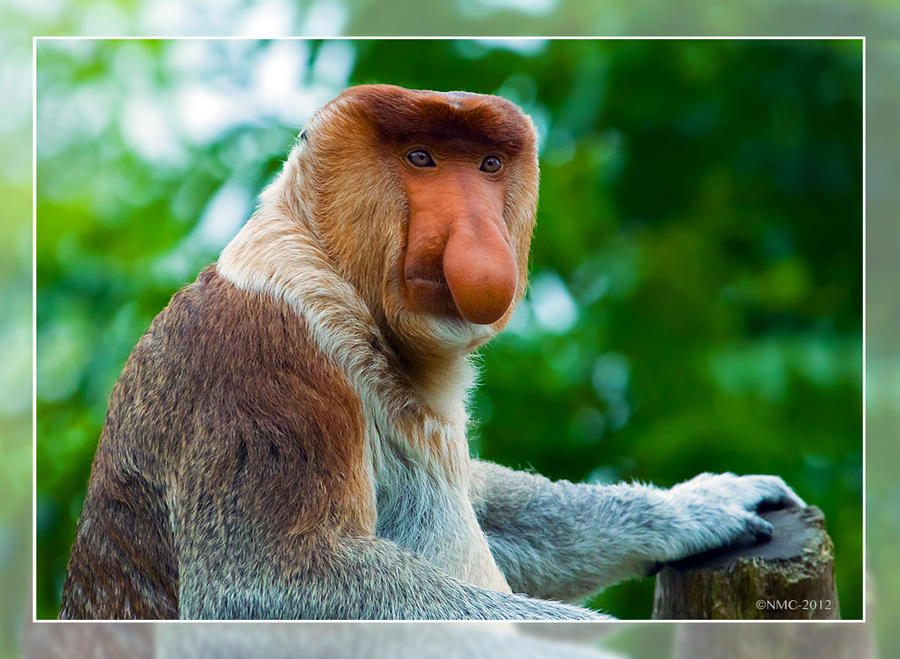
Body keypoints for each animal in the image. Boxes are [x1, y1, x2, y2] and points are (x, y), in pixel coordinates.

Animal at [59, 84, 805, 620]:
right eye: (421, 159)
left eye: (488, 165)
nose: (477, 236)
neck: (334, 274)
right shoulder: (259, 356)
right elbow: (270, 588)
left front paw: (703, 505)